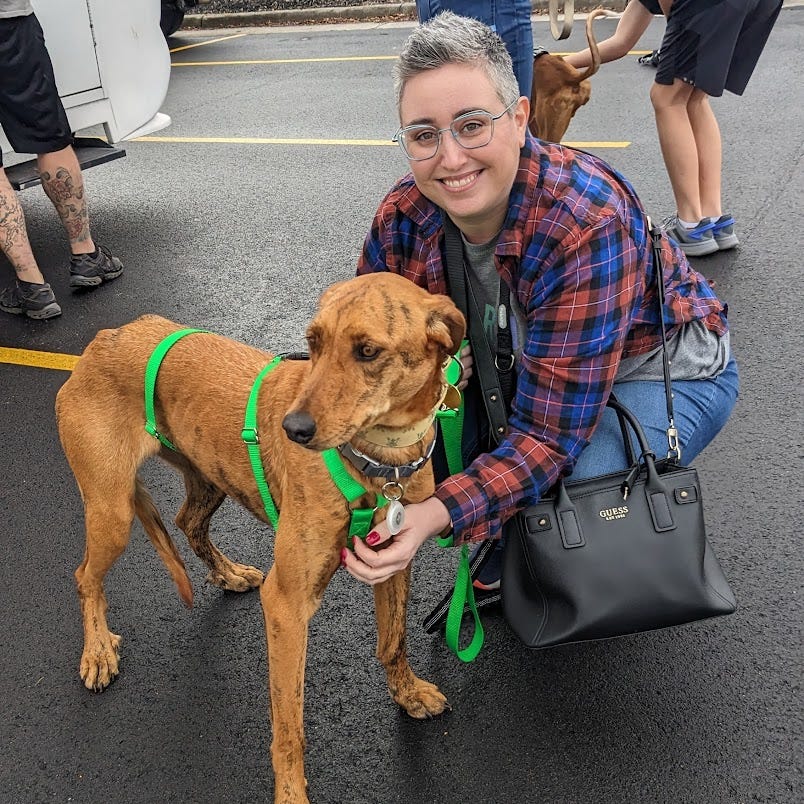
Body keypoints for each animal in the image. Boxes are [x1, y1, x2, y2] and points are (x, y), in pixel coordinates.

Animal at [56, 272, 464, 804]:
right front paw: (291, 793)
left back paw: (227, 573)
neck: (379, 460)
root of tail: (102, 339)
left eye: (368, 351)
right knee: (85, 575)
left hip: (208, 478)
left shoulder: (395, 561)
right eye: (313, 343)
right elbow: (289, 724)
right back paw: (98, 650)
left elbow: (393, 641)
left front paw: (408, 693)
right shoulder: (287, 605)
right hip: (112, 512)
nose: (292, 429)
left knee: (187, 522)